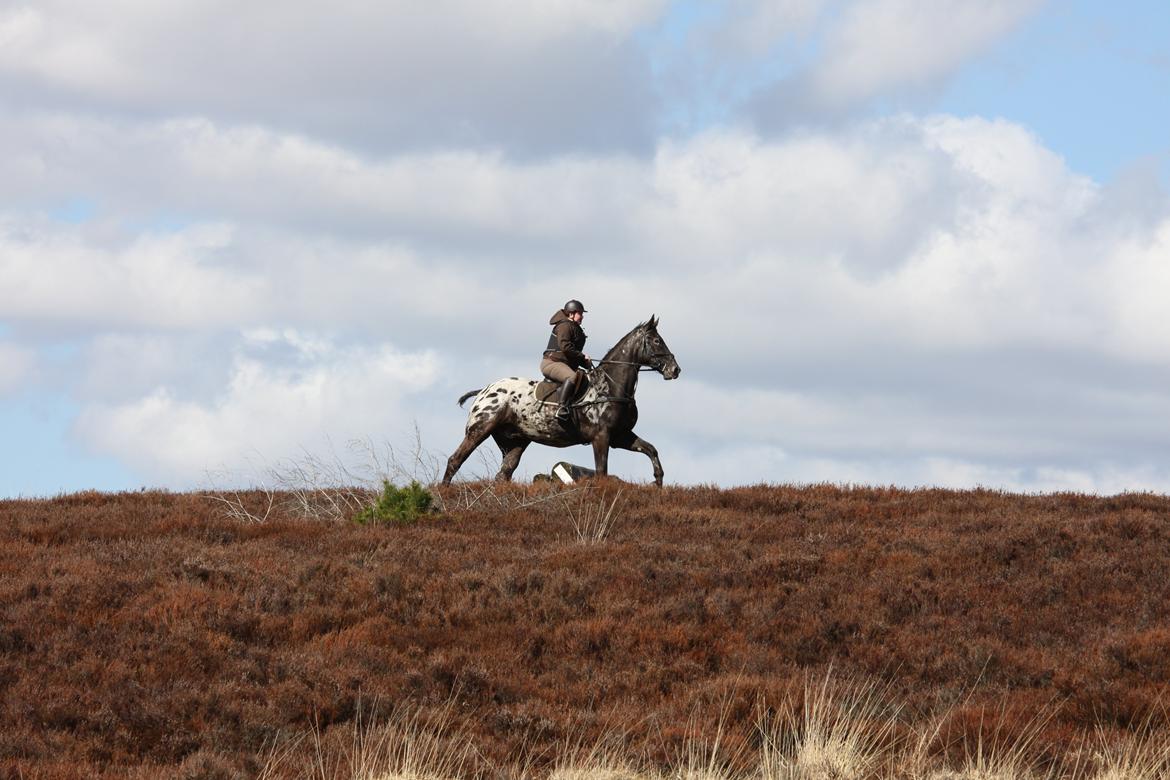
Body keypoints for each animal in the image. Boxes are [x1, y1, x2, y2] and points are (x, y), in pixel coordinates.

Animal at [439, 318, 683, 488]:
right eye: (656, 341)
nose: (675, 370)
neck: (610, 386)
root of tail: (484, 390)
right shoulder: (601, 437)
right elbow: (601, 471)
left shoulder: (620, 436)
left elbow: (651, 450)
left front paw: (658, 482)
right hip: (480, 429)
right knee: (455, 460)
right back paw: (444, 491)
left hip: (515, 441)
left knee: (504, 473)